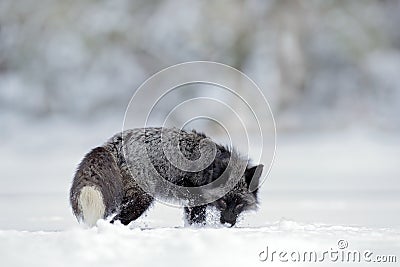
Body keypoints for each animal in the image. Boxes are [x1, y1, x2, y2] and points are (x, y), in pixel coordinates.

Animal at [70, 126, 264, 227]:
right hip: (139, 202)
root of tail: (113, 144)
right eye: (223, 202)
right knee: (115, 221)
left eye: (239, 204)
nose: (228, 223)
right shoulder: (195, 201)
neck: (209, 170)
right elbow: (197, 220)